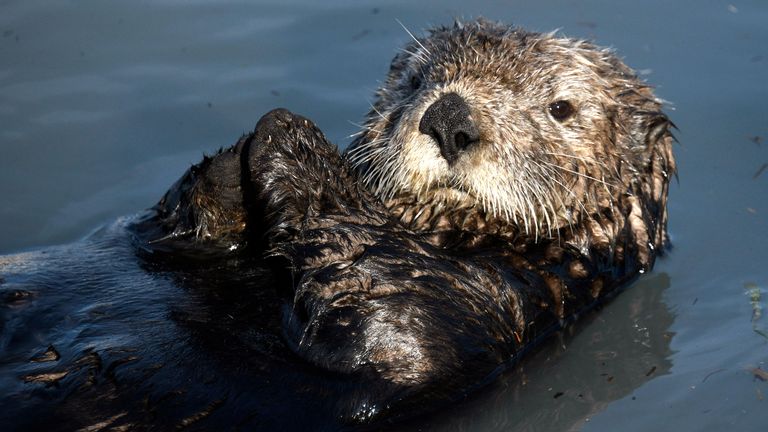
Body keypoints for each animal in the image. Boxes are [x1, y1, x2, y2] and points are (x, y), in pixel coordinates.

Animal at [0, 19, 672, 432]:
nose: (449, 118)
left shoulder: (500, 308)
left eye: (561, 108)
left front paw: (294, 140)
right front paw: (245, 151)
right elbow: (168, 236)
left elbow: (390, 329)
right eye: (415, 81)